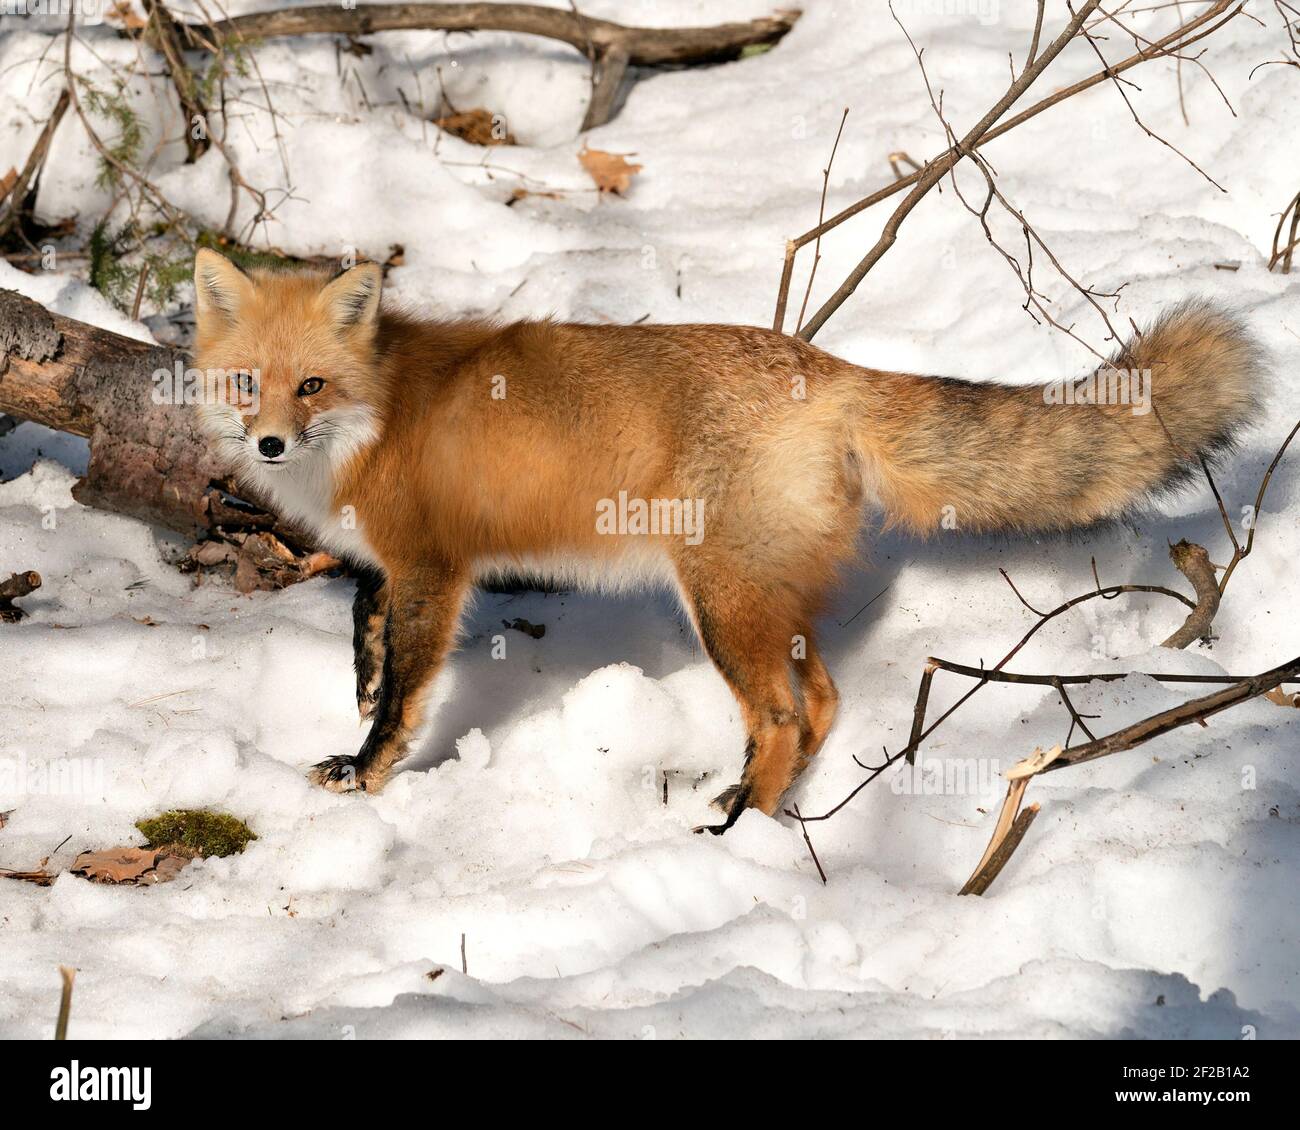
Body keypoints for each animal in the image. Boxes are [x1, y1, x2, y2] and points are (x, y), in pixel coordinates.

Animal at [192, 247, 1258, 827]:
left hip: (720, 603)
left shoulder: (435, 567)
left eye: (312, 385)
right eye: (248, 384)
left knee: (785, 715)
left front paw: (367, 770)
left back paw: (740, 826)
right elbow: (369, 629)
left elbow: (409, 691)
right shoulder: (392, 565)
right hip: (766, 602)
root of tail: (826, 366)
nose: (270, 442)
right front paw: (358, 687)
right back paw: (758, 807)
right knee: (820, 704)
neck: (378, 413)